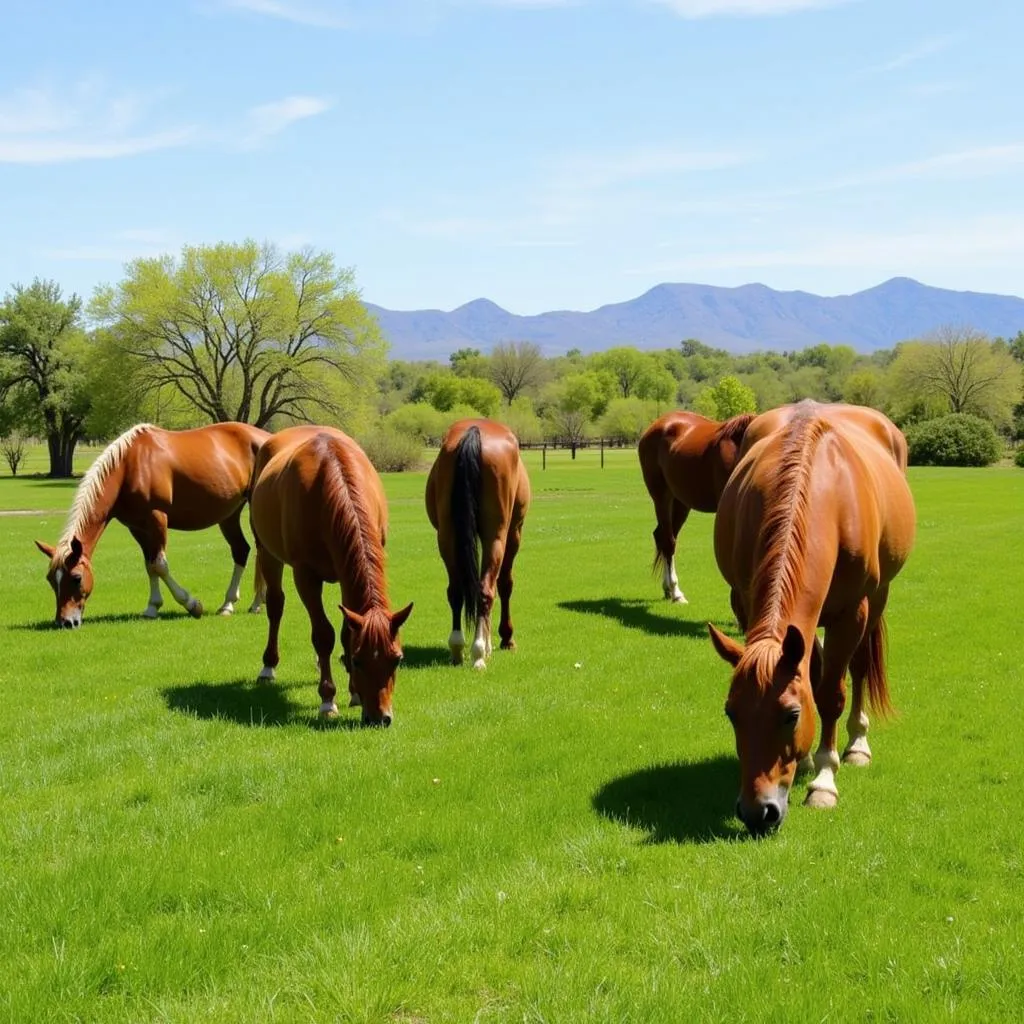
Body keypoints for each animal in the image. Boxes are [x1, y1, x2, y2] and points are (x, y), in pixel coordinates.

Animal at [35, 419, 270, 626]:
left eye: (76, 578)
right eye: (50, 579)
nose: (65, 622)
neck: (128, 467)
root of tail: (266, 438)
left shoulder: (157, 519)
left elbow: (160, 565)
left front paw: (192, 604)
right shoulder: (137, 528)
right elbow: (150, 566)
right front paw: (152, 607)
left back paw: (255, 603)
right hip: (229, 515)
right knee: (242, 550)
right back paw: (230, 604)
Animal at [247, 419, 411, 724]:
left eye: (397, 659)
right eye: (358, 660)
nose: (380, 718)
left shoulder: (348, 575)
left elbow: (347, 631)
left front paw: (354, 693)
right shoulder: (306, 576)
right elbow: (323, 635)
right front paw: (327, 698)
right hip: (267, 553)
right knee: (276, 606)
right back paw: (268, 666)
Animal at [425, 417, 532, 667]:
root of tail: (474, 431)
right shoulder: (514, 533)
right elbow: (504, 584)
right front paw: (504, 638)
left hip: (448, 537)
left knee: (456, 591)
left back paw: (457, 647)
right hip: (498, 536)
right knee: (487, 589)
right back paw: (478, 652)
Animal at [634, 407, 757, 598]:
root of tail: (656, 425)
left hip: (681, 502)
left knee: (663, 536)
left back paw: (668, 589)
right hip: (661, 496)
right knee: (668, 541)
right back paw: (675, 591)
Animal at [708, 395, 917, 835]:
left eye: (791, 715)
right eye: (731, 713)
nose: (758, 813)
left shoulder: (851, 611)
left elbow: (832, 693)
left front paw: (824, 780)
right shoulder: (746, 603)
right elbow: (813, 678)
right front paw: (806, 760)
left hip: (877, 598)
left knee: (857, 669)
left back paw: (856, 743)